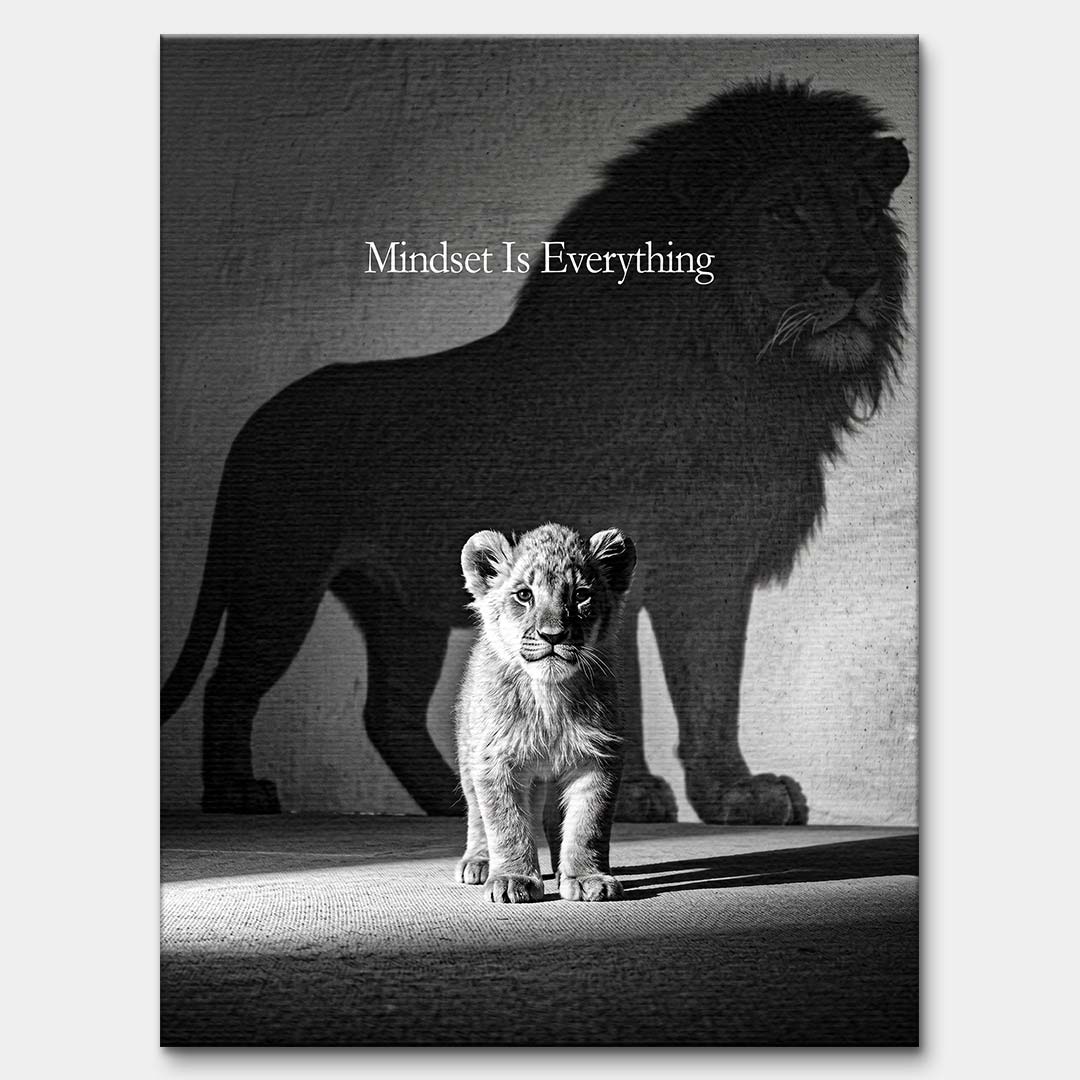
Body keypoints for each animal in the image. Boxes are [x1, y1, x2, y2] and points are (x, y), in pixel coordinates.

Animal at [161, 78, 910, 824]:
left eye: (867, 215)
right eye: (783, 211)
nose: (859, 275)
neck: (747, 372)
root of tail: (253, 423)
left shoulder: (714, 560)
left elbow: (712, 689)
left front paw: (734, 793)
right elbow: (625, 680)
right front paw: (630, 793)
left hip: (399, 609)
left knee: (389, 712)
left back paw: (456, 798)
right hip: (279, 580)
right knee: (231, 686)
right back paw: (237, 794)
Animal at [455, 523, 636, 903]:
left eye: (581, 595)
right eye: (524, 595)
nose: (553, 635)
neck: (548, 697)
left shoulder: (599, 757)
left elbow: (589, 824)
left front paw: (587, 877)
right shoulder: (495, 759)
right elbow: (505, 823)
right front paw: (512, 879)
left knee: (555, 820)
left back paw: (562, 869)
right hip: (469, 755)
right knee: (477, 813)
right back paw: (478, 862)